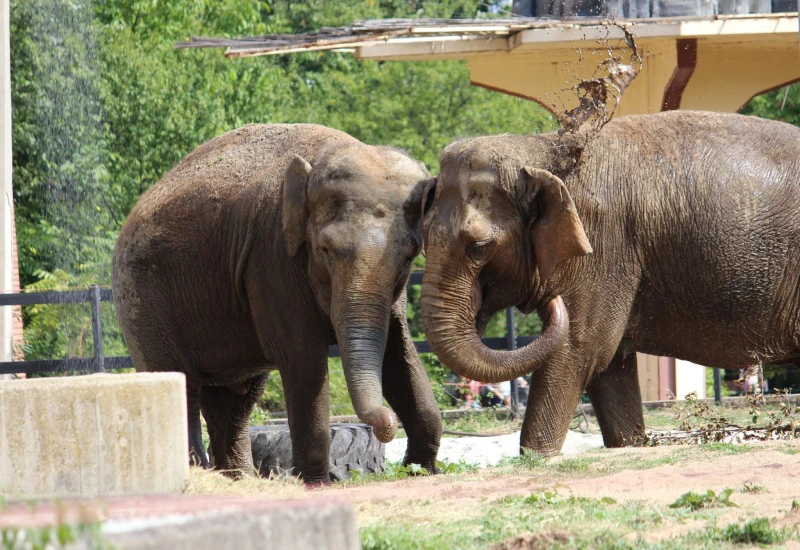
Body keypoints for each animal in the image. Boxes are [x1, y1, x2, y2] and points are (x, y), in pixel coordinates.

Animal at [111, 124, 444, 484]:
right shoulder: (272, 257)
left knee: (233, 401)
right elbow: (302, 356)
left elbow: (398, 351)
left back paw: (238, 479)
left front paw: (423, 470)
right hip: (140, 299)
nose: (387, 428)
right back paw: (198, 472)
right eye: (325, 250)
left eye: (409, 255)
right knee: (181, 382)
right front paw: (315, 484)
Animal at [418, 111, 800, 458]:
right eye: (421, 237)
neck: (539, 149)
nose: (550, 301)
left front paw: (537, 456)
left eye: (478, 248)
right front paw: (630, 444)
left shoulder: (602, 248)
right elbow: (610, 364)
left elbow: (581, 348)